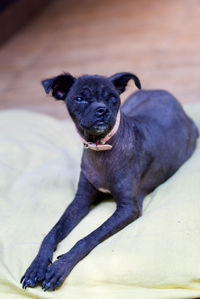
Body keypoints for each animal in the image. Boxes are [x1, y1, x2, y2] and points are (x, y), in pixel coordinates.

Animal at [20, 72, 198, 290]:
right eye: (80, 98)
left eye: (113, 98)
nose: (102, 110)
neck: (101, 149)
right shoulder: (80, 201)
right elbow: (51, 233)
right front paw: (36, 266)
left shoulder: (128, 208)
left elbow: (88, 237)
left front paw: (60, 266)